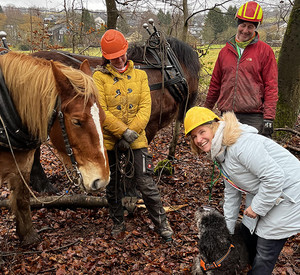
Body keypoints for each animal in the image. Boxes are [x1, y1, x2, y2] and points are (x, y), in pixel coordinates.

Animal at [0, 51, 110, 248]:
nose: (102, 180)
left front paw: (28, 237)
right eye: (76, 121)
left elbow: (22, 198)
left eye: (103, 118)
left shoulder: (22, 163)